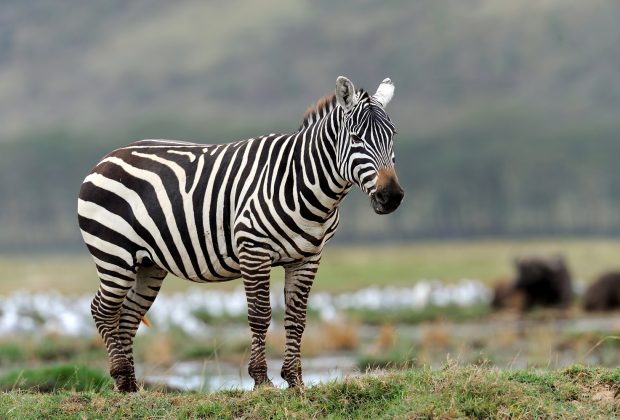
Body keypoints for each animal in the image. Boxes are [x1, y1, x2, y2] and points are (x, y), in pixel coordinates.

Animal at [77, 74, 404, 390]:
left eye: (393, 137)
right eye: (356, 138)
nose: (391, 197)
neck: (303, 182)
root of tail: (107, 157)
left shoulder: (308, 257)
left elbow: (297, 318)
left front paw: (295, 380)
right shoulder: (254, 250)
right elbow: (260, 315)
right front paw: (261, 380)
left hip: (148, 263)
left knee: (128, 315)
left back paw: (131, 387)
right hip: (114, 255)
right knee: (102, 310)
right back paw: (121, 376)